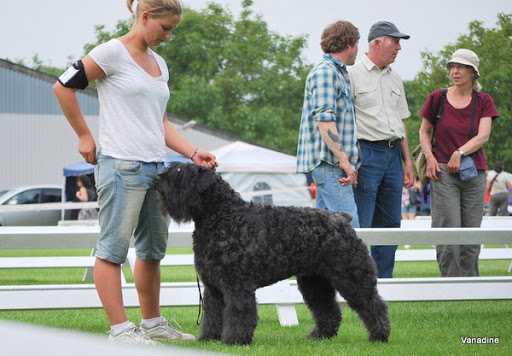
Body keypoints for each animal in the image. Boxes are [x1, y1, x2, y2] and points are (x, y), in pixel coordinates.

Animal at [158, 164, 390, 344]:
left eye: (180, 171)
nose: (159, 178)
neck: (221, 215)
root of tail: (341, 219)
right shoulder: (213, 286)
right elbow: (212, 314)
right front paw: (209, 337)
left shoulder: (236, 284)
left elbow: (238, 312)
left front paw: (235, 339)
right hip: (314, 281)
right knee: (327, 309)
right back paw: (319, 335)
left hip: (350, 276)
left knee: (372, 303)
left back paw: (379, 335)